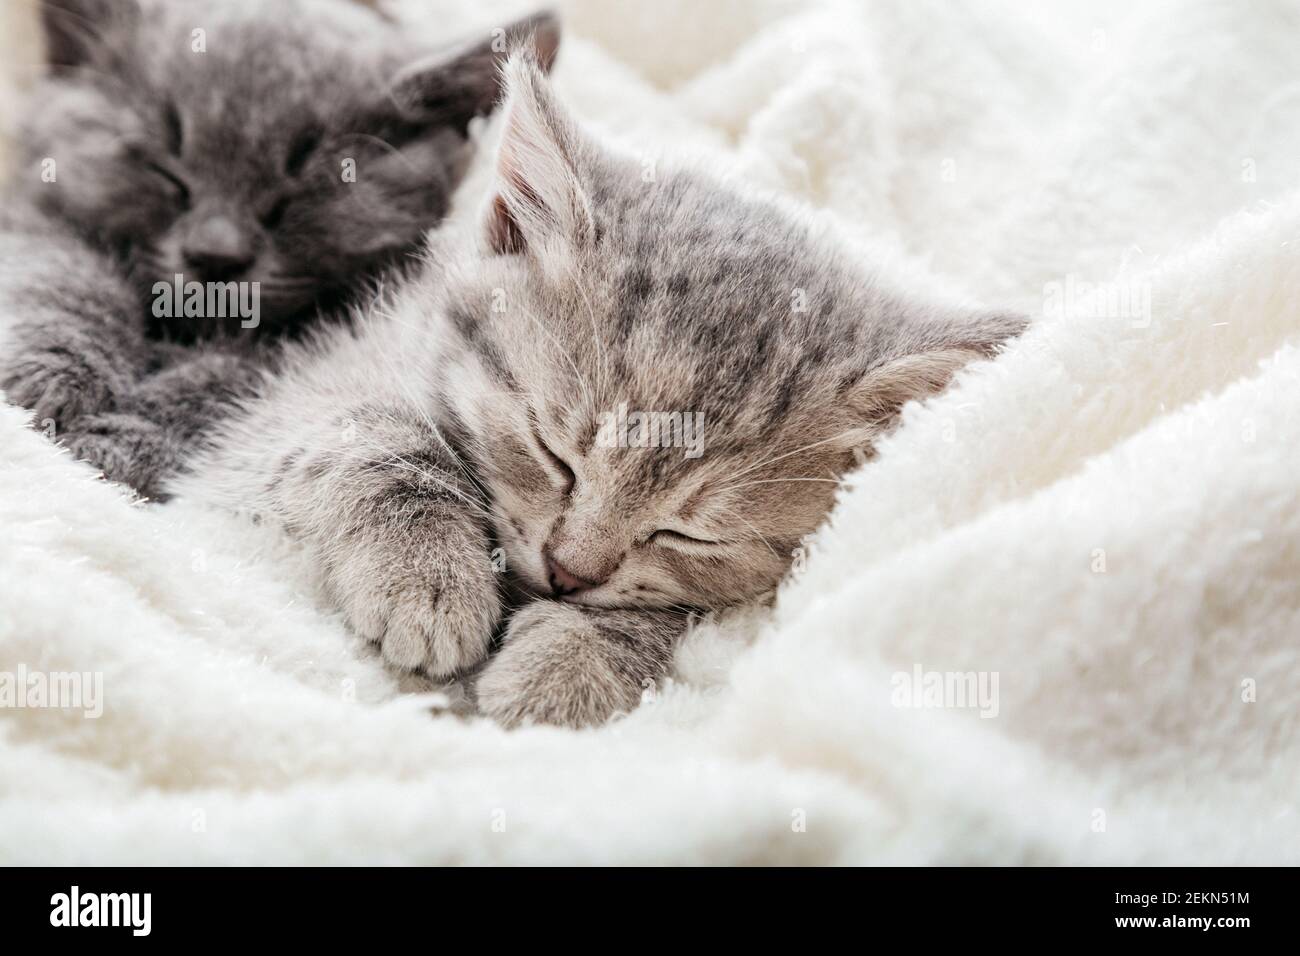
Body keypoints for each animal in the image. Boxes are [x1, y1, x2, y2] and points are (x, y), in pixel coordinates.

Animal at [0, 1, 559, 502]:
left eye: (297, 193)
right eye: (166, 171)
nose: (215, 256)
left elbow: (223, 384)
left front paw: (120, 439)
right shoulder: (34, 211)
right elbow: (62, 274)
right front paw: (49, 378)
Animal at [172, 55, 1024, 728]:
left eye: (689, 534)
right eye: (553, 452)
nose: (570, 573)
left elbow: (671, 613)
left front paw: (568, 664)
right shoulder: (284, 407)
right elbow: (371, 435)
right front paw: (426, 576)